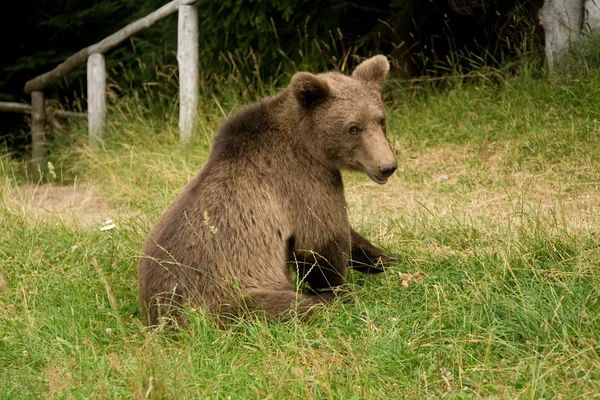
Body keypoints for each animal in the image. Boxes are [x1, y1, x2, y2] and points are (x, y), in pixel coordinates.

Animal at [138, 55, 396, 324]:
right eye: (353, 128)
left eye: (381, 120)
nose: (387, 166)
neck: (309, 145)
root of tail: (157, 317)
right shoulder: (303, 182)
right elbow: (321, 240)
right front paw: (338, 290)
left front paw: (383, 257)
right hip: (226, 300)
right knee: (288, 307)